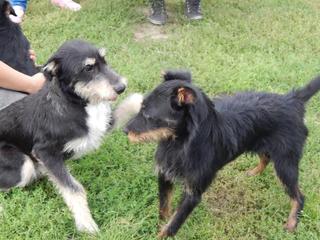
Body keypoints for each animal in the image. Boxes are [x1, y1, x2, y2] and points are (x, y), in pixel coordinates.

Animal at [0, 40, 141, 233]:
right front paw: (86, 224)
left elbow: (132, 102)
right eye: (88, 68)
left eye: (105, 60)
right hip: (23, 165)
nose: (121, 87)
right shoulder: (45, 152)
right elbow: (74, 189)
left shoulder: (101, 126)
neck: (77, 102)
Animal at [124, 70, 320, 237]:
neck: (178, 143)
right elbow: (164, 209)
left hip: (285, 164)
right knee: (265, 156)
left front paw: (160, 234)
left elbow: (174, 223)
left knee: (299, 197)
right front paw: (157, 225)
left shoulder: (193, 193)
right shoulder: (164, 175)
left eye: (148, 116)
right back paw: (253, 173)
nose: (124, 130)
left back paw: (291, 224)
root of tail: (292, 100)